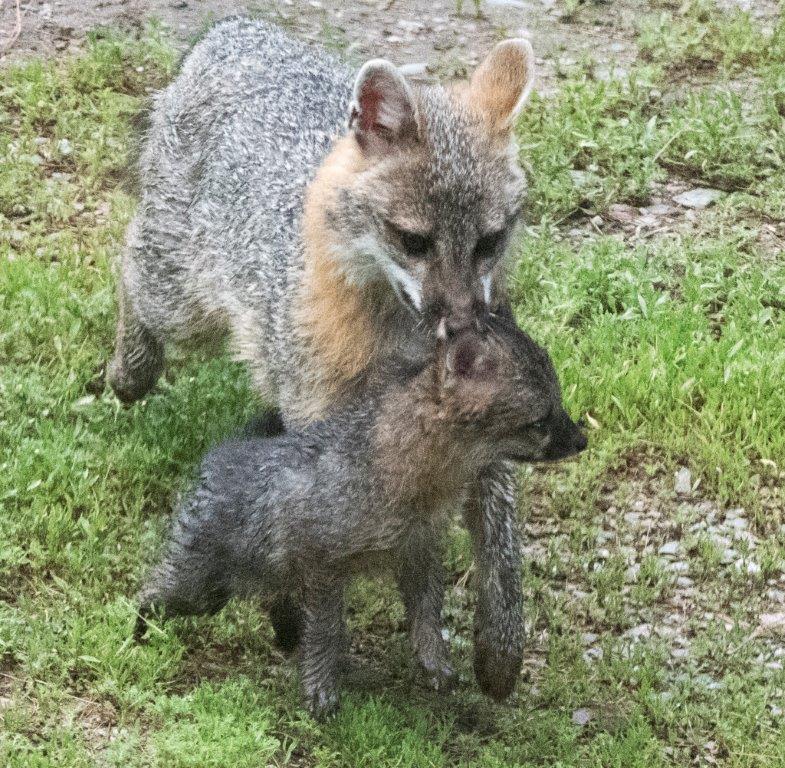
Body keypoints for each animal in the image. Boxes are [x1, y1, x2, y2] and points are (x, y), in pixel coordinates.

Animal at [111, 17, 537, 700]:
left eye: (490, 242)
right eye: (412, 241)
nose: (468, 324)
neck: (399, 343)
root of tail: (239, 30)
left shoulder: (490, 427)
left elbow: (502, 548)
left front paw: (499, 651)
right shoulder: (319, 439)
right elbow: (319, 560)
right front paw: (316, 651)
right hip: (180, 300)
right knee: (128, 264)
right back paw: (129, 369)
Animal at [134, 315, 587, 719]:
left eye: (559, 404)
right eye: (541, 419)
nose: (583, 439)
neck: (407, 483)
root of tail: (221, 453)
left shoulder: (418, 550)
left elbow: (428, 614)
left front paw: (433, 662)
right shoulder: (322, 564)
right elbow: (328, 630)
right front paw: (320, 689)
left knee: (276, 607)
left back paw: (287, 639)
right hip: (199, 589)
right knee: (151, 591)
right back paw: (138, 634)